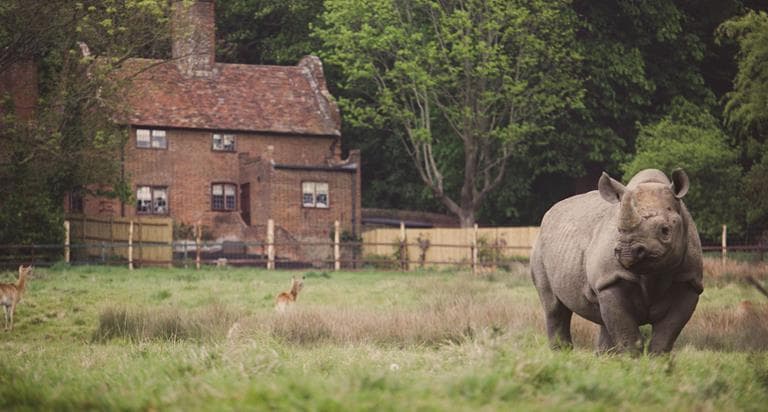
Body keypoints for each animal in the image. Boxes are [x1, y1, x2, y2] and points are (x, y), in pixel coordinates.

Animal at [530, 169, 703, 353]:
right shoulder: (612, 278)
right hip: (540, 247)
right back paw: (562, 353)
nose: (628, 251)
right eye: (619, 230)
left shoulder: (689, 281)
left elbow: (666, 335)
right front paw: (630, 359)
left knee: (602, 317)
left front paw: (658, 360)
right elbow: (627, 333)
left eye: (665, 231)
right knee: (554, 307)